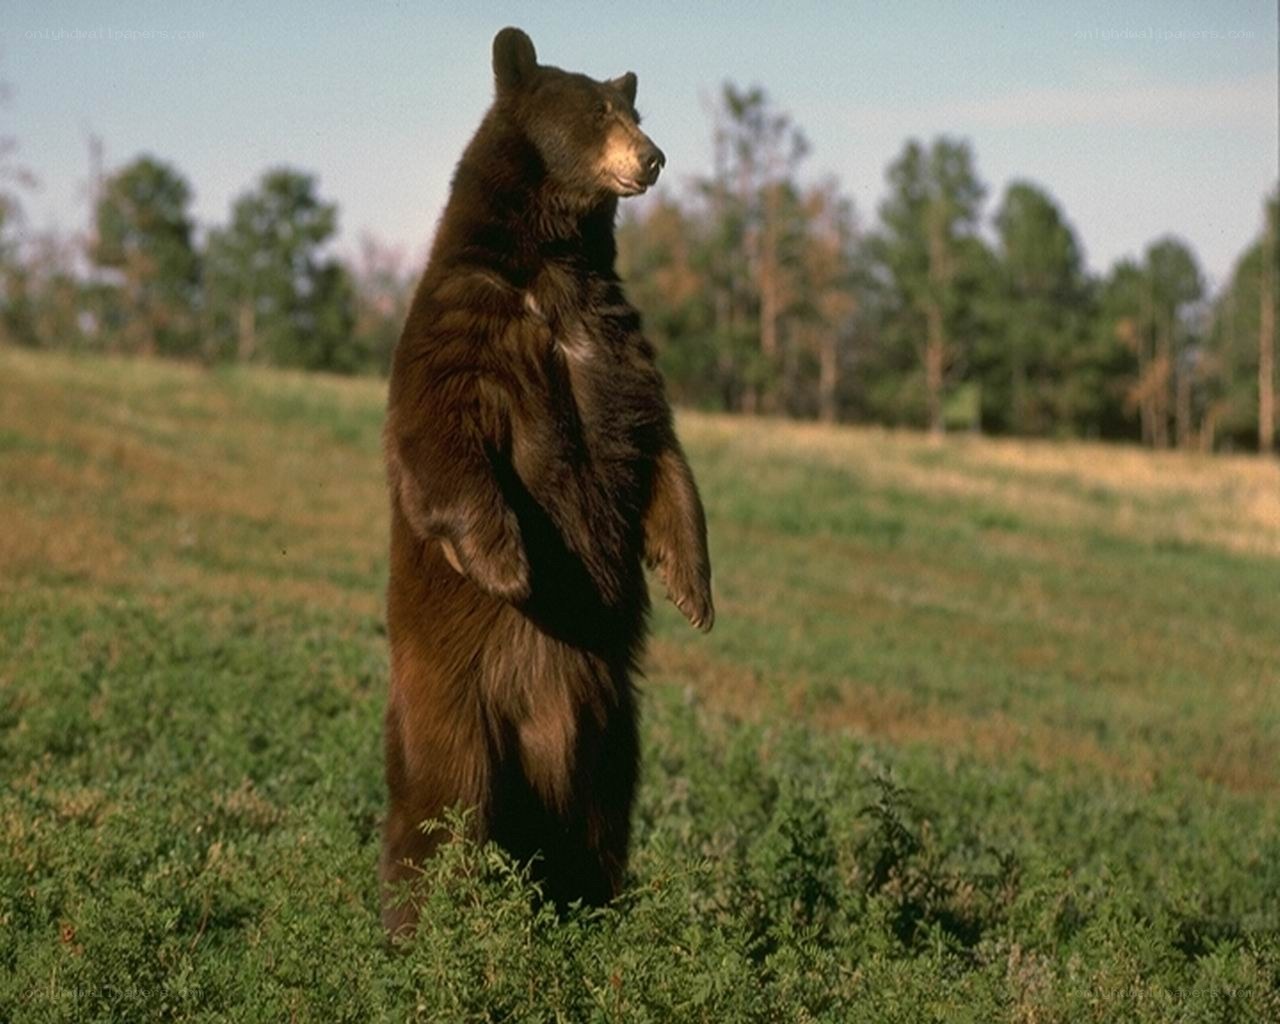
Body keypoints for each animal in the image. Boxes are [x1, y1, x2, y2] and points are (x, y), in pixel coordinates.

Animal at [379, 26, 714, 936]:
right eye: (598, 112)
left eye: (636, 107)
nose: (654, 156)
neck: (555, 263)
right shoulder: (468, 322)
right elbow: (442, 436)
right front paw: (508, 563)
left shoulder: (616, 342)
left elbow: (659, 447)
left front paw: (692, 587)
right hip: (458, 704)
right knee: (442, 809)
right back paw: (419, 925)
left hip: (613, 729)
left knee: (597, 824)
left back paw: (595, 913)